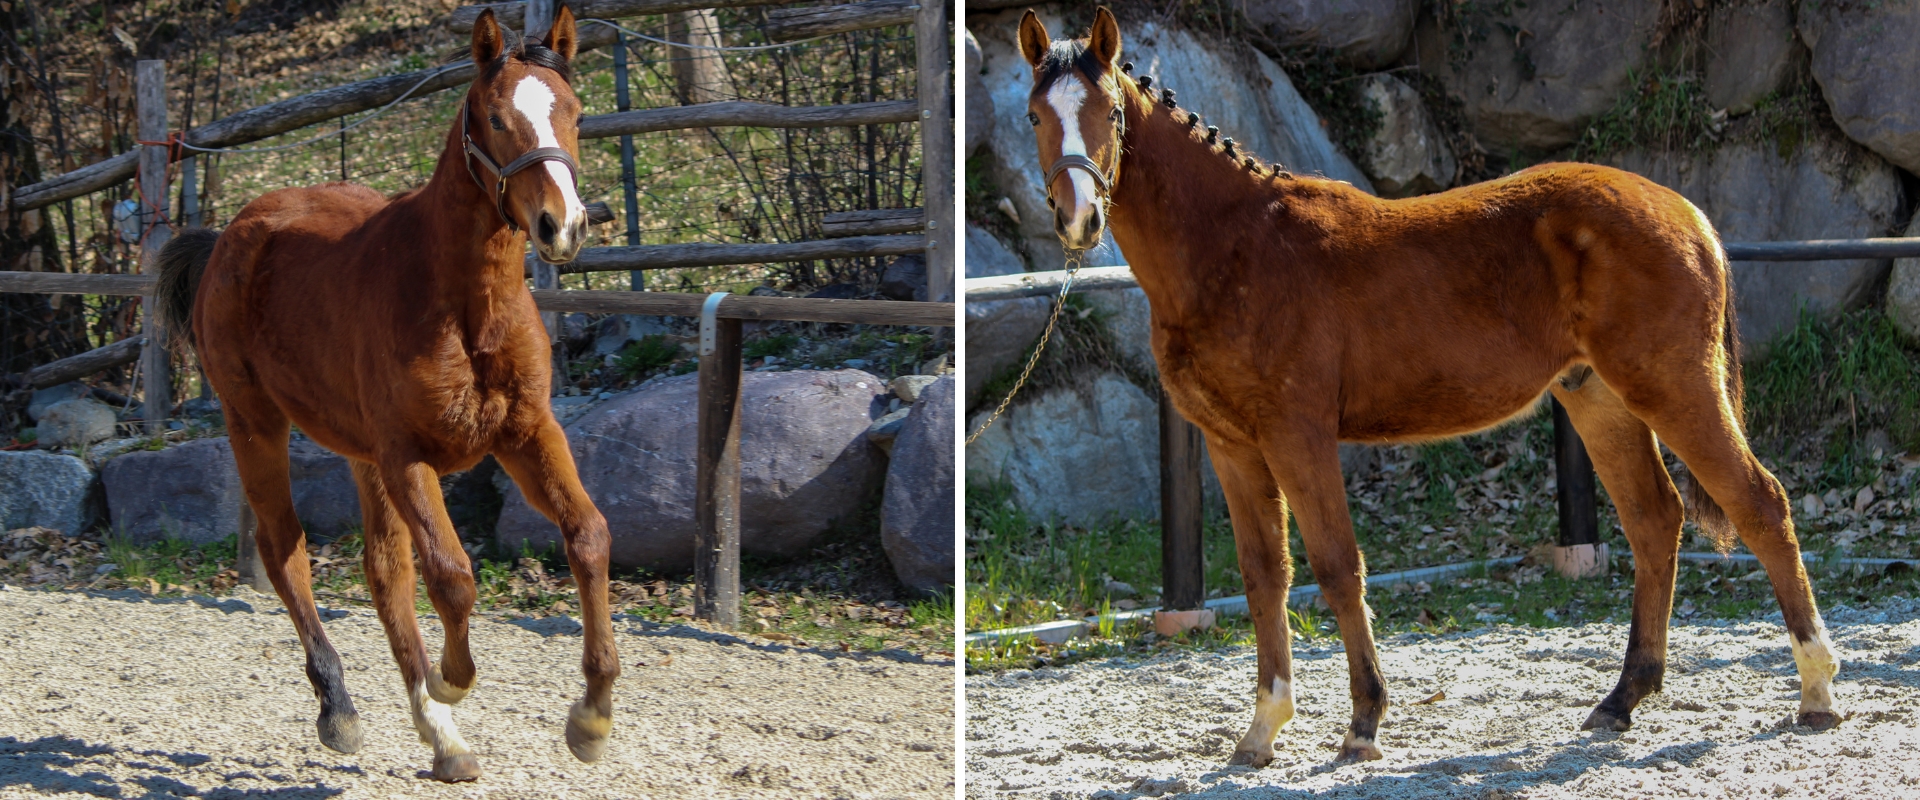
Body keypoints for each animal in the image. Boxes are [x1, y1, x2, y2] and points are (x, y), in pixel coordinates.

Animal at [154, 7, 613, 782]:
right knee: (286, 551)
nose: (564, 225)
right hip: (255, 422)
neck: (467, 308)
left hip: (358, 452)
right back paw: (341, 709)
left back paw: (443, 739)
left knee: (383, 572)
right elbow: (453, 575)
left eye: (575, 113)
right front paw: (452, 680)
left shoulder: (525, 434)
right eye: (496, 118)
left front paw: (591, 718)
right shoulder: (408, 456)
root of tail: (229, 237)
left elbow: (588, 536)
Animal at [1015, 7, 1839, 767]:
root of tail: (1687, 213)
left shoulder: (1297, 435)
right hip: (1599, 399)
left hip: (1674, 389)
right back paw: (1622, 698)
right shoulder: (1232, 447)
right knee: (1654, 522)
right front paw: (1262, 729)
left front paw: (1363, 723)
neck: (1235, 246)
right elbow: (1263, 578)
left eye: (1109, 112)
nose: (1078, 218)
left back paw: (1817, 690)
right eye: (1033, 114)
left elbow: (1337, 567)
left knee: (1760, 504)